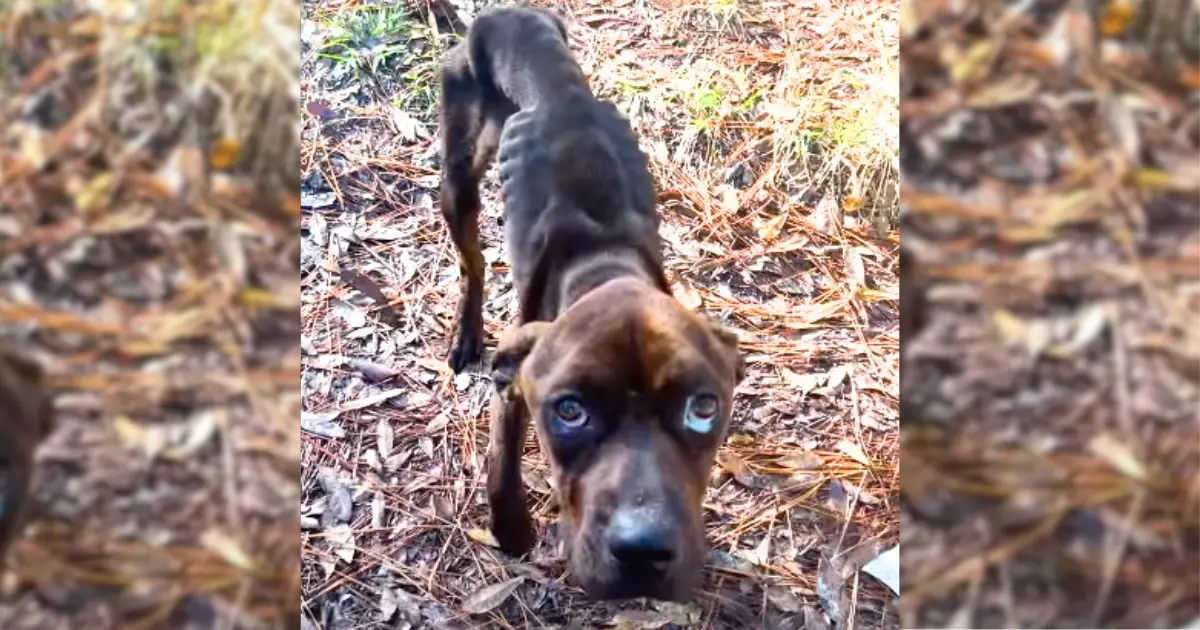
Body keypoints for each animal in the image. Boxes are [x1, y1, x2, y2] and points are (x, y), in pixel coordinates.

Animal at [436, 8, 744, 600]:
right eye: (570, 411)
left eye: (703, 408)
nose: (644, 551)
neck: (605, 264)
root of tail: (511, 16)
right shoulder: (513, 389)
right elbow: (500, 468)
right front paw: (512, 530)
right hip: (458, 180)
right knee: (473, 262)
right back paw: (466, 334)